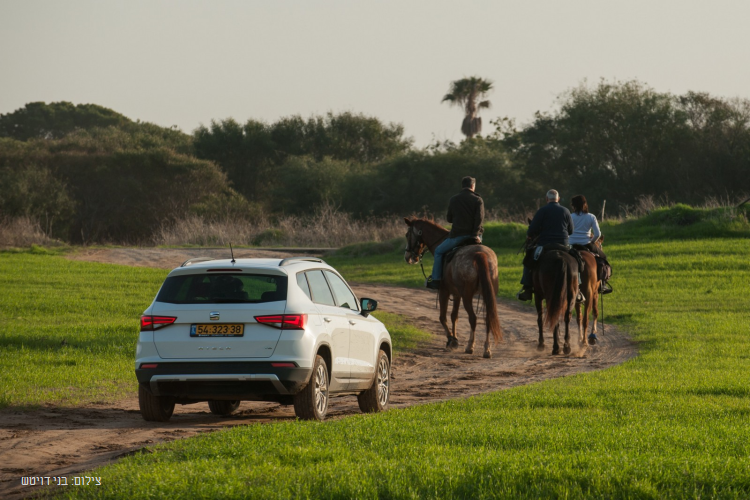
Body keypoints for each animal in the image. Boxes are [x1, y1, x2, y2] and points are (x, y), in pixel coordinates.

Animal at [402, 217, 502, 358]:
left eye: (407, 234)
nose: (408, 257)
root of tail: (479, 254)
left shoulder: (444, 291)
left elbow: (443, 317)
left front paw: (451, 340)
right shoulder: (456, 294)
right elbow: (454, 316)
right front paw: (454, 339)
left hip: (467, 296)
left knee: (473, 318)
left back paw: (470, 346)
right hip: (487, 295)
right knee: (488, 318)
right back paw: (487, 349)